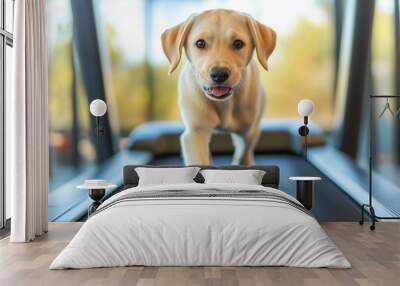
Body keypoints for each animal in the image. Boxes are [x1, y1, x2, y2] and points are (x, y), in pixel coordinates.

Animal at [160, 9, 276, 165]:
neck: (224, 104)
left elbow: (243, 154)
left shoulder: (248, 132)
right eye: (200, 43)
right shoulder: (195, 133)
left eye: (238, 43)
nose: (219, 74)